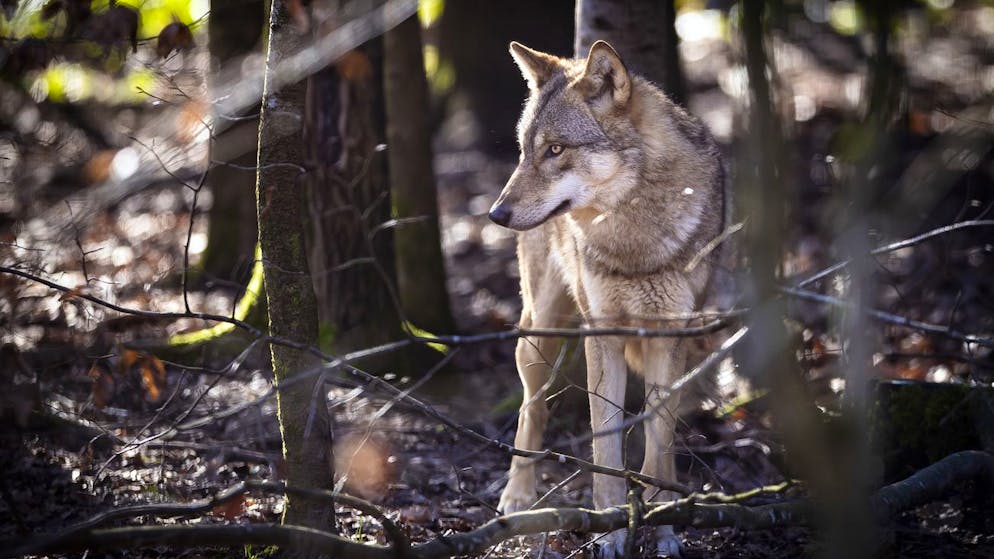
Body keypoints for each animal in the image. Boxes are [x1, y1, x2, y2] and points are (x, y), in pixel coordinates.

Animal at [489, 40, 728, 557]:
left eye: (556, 149)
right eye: (524, 151)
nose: (496, 214)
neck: (634, 240)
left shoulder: (668, 337)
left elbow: (659, 444)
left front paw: (664, 527)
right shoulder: (603, 335)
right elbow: (606, 446)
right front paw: (614, 532)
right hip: (538, 332)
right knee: (532, 406)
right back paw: (517, 496)